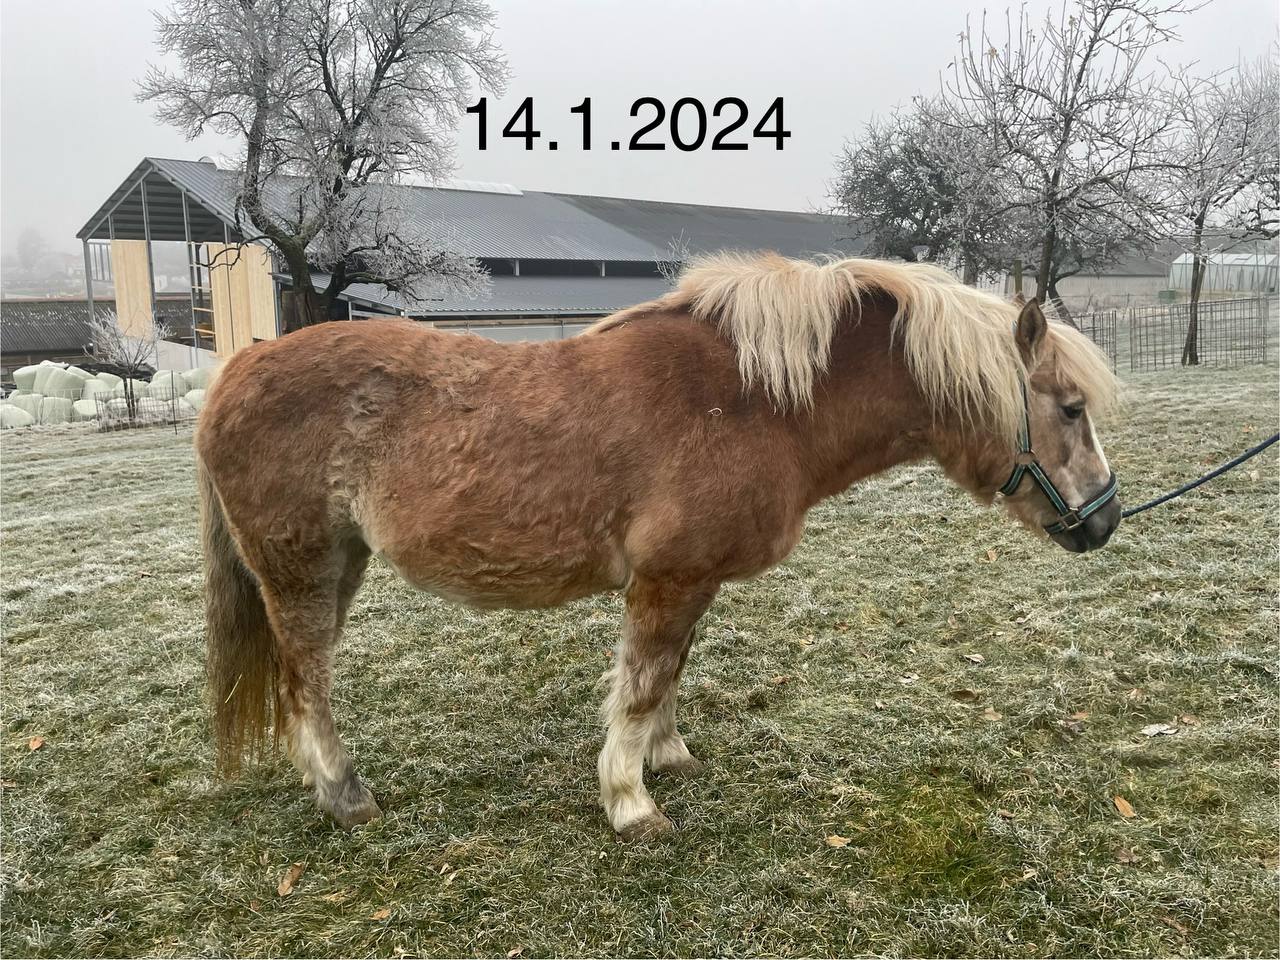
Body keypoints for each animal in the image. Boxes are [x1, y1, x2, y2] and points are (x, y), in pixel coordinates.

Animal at [195, 253, 1121, 839]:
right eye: (1071, 408)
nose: (1105, 521)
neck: (754, 400)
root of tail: (237, 369)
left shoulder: (692, 579)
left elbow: (671, 673)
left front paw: (667, 758)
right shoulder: (666, 580)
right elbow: (640, 686)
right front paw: (630, 804)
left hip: (341, 562)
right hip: (302, 569)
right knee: (306, 680)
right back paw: (345, 795)